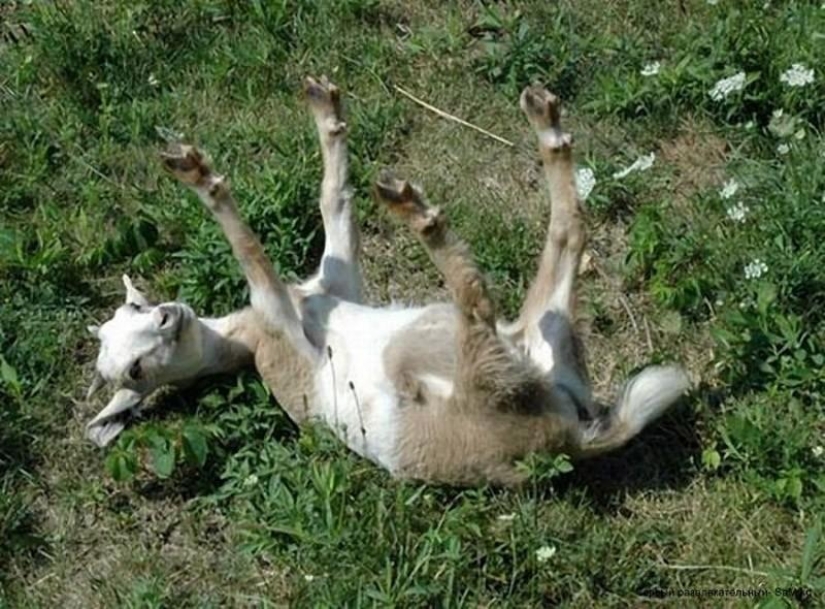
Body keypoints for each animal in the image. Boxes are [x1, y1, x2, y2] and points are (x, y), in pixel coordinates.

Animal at [85, 77, 690, 485]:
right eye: (133, 371)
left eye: (133, 309)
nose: (170, 316)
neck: (246, 338)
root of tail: (572, 440)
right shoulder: (284, 324)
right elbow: (251, 254)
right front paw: (200, 176)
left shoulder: (335, 281)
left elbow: (333, 203)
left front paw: (325, 110)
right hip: (473, 368)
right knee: (477, 303)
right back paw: (419, 214)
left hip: (544, 330)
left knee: (567, 234)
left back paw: (544, 123)